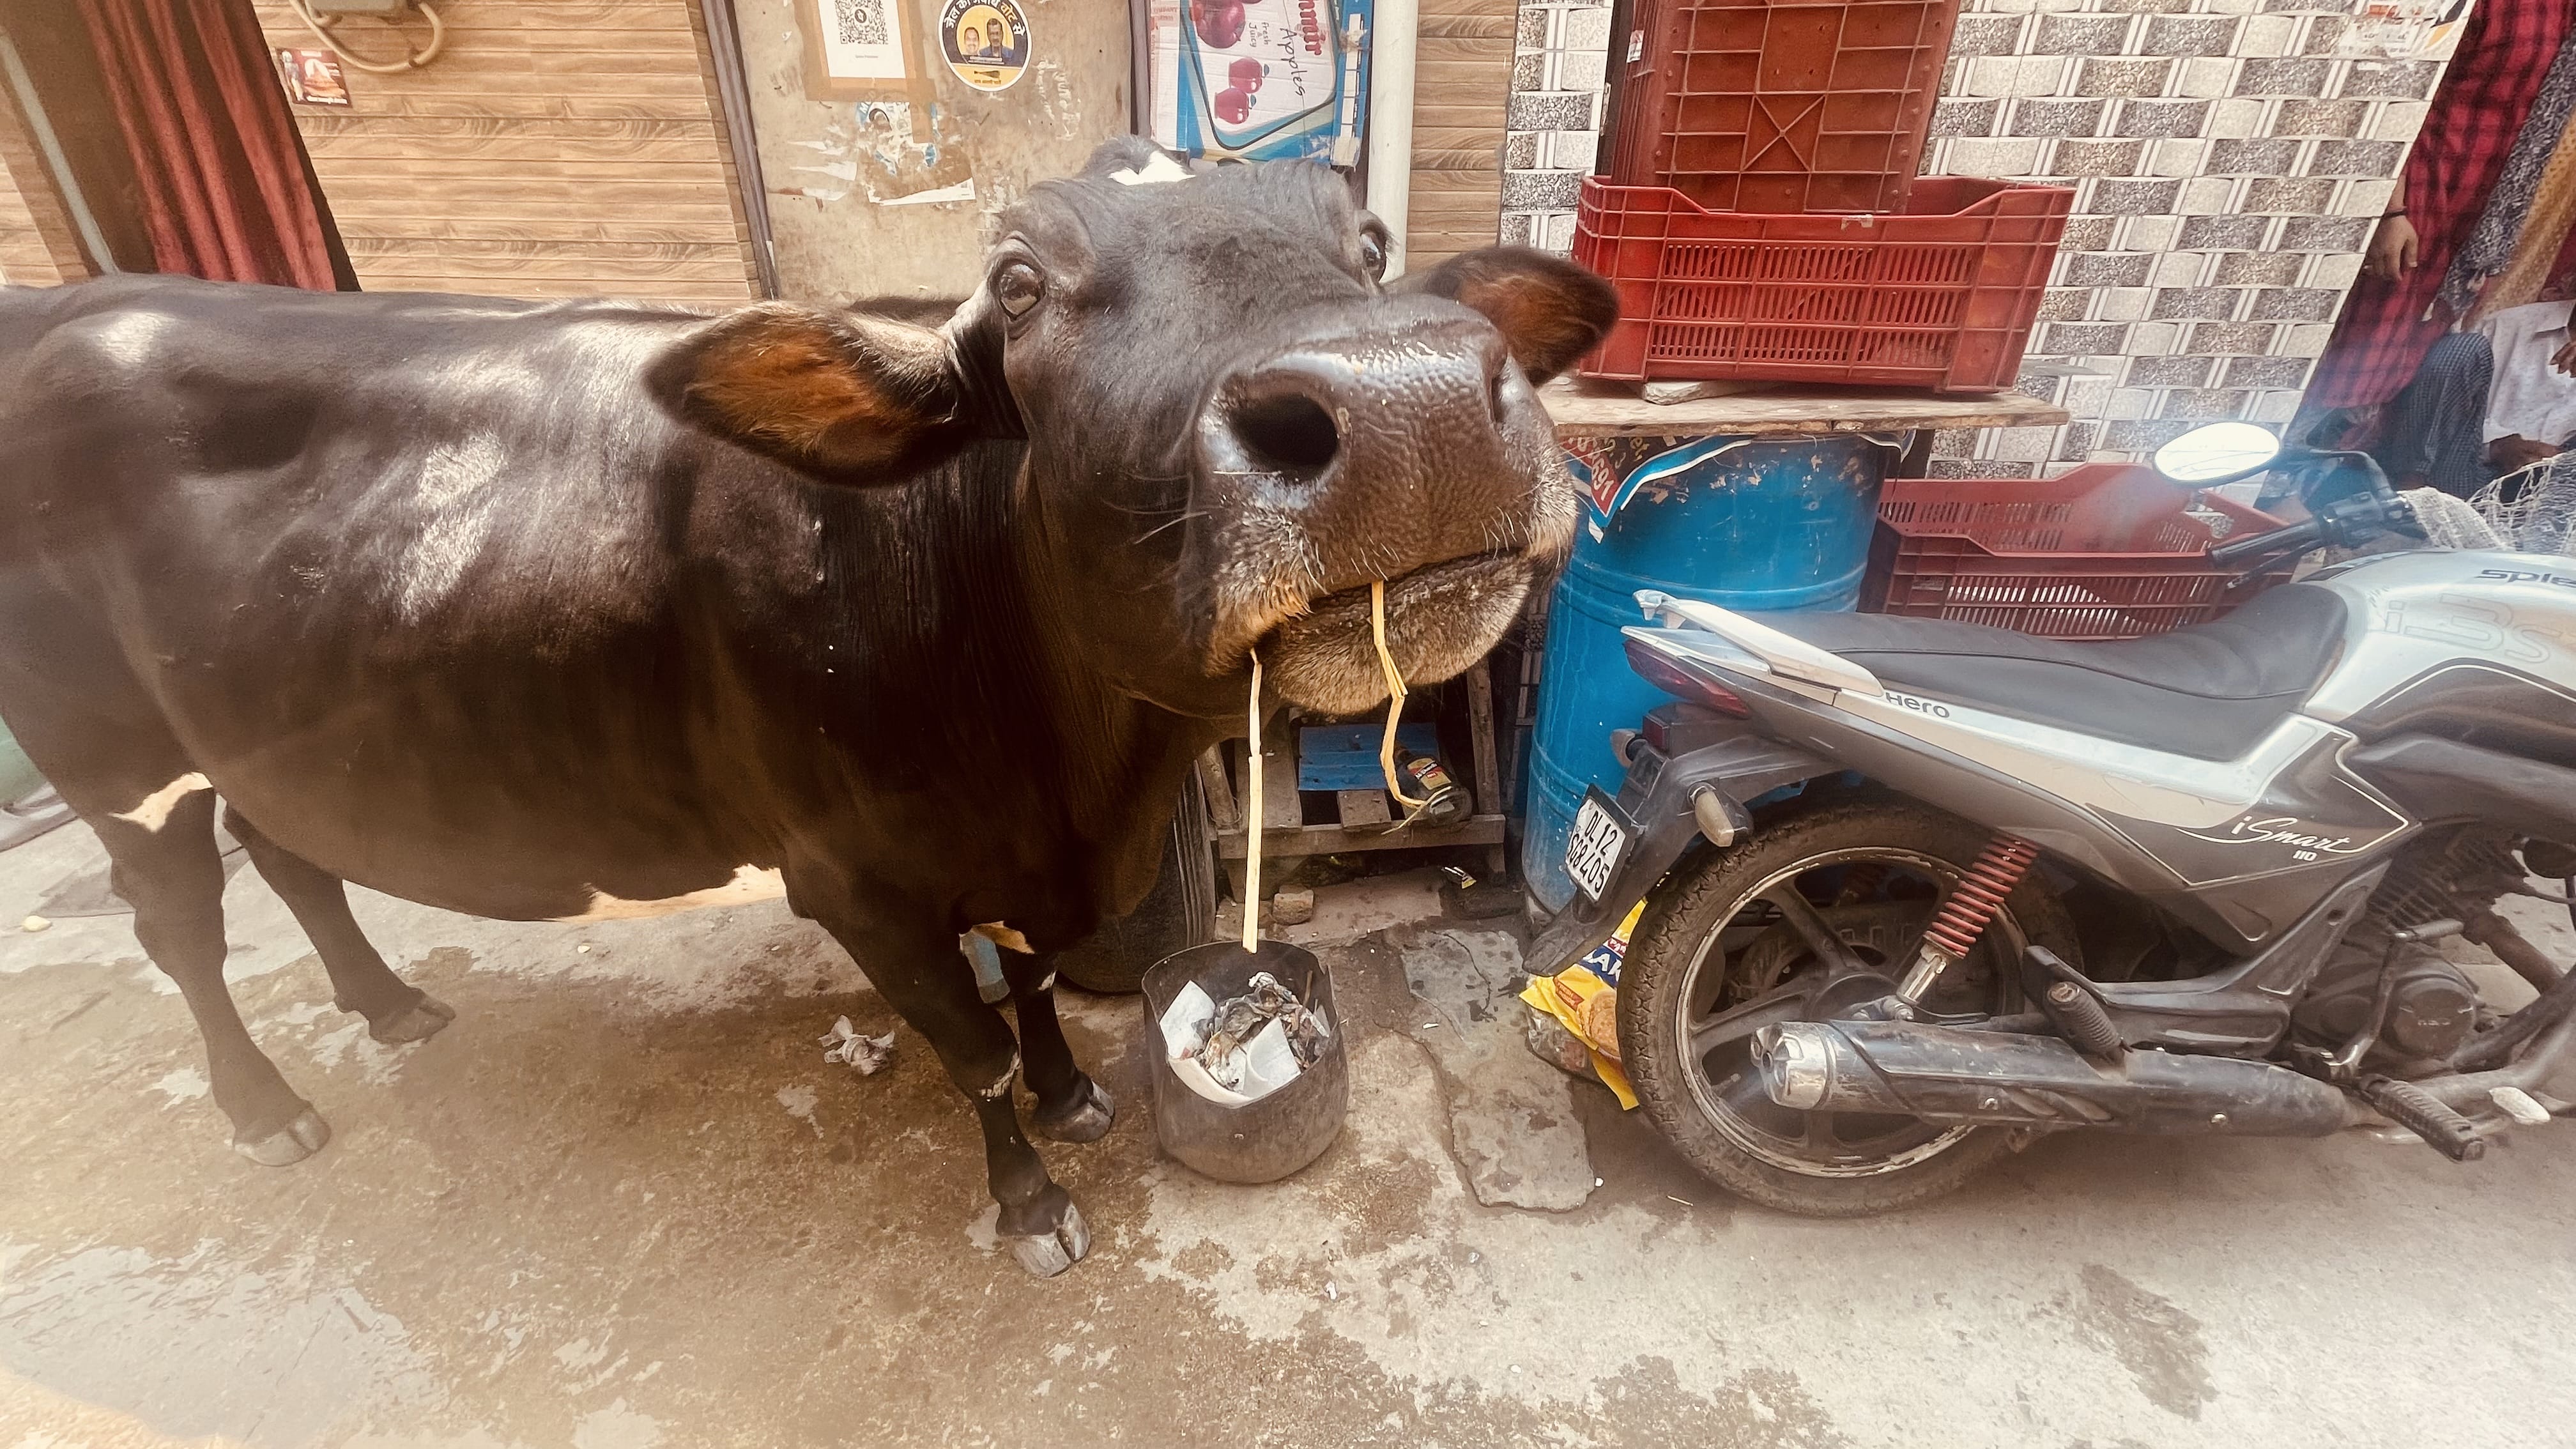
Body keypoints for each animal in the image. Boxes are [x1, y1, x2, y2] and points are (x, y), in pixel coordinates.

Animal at [0, 139, 1615, 1274]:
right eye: (1019, 286)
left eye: (1373, 244)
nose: (1408, 401)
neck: (1067, 786)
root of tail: (75, 301)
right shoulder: (855, 880)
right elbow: (967, 1046)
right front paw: (1028, 1202)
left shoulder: (1019, 859)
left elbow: (1035, 988)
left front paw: (1073, 1099)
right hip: (108, 759)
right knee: (183, 932)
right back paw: (264, 1105)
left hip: (255, 729)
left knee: (286, 852)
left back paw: (387, 1003)